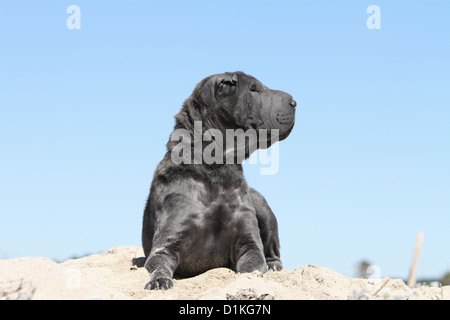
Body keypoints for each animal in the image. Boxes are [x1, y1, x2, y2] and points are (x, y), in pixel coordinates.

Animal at [141, 72, 296, 290]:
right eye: (254, 89)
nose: (294, 102)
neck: (216, 174)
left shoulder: (249, 243)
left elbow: (251, 268)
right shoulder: (165, 246)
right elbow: (159, 265)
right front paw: (159, 280)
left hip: (262, 207)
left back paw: (274, 266)